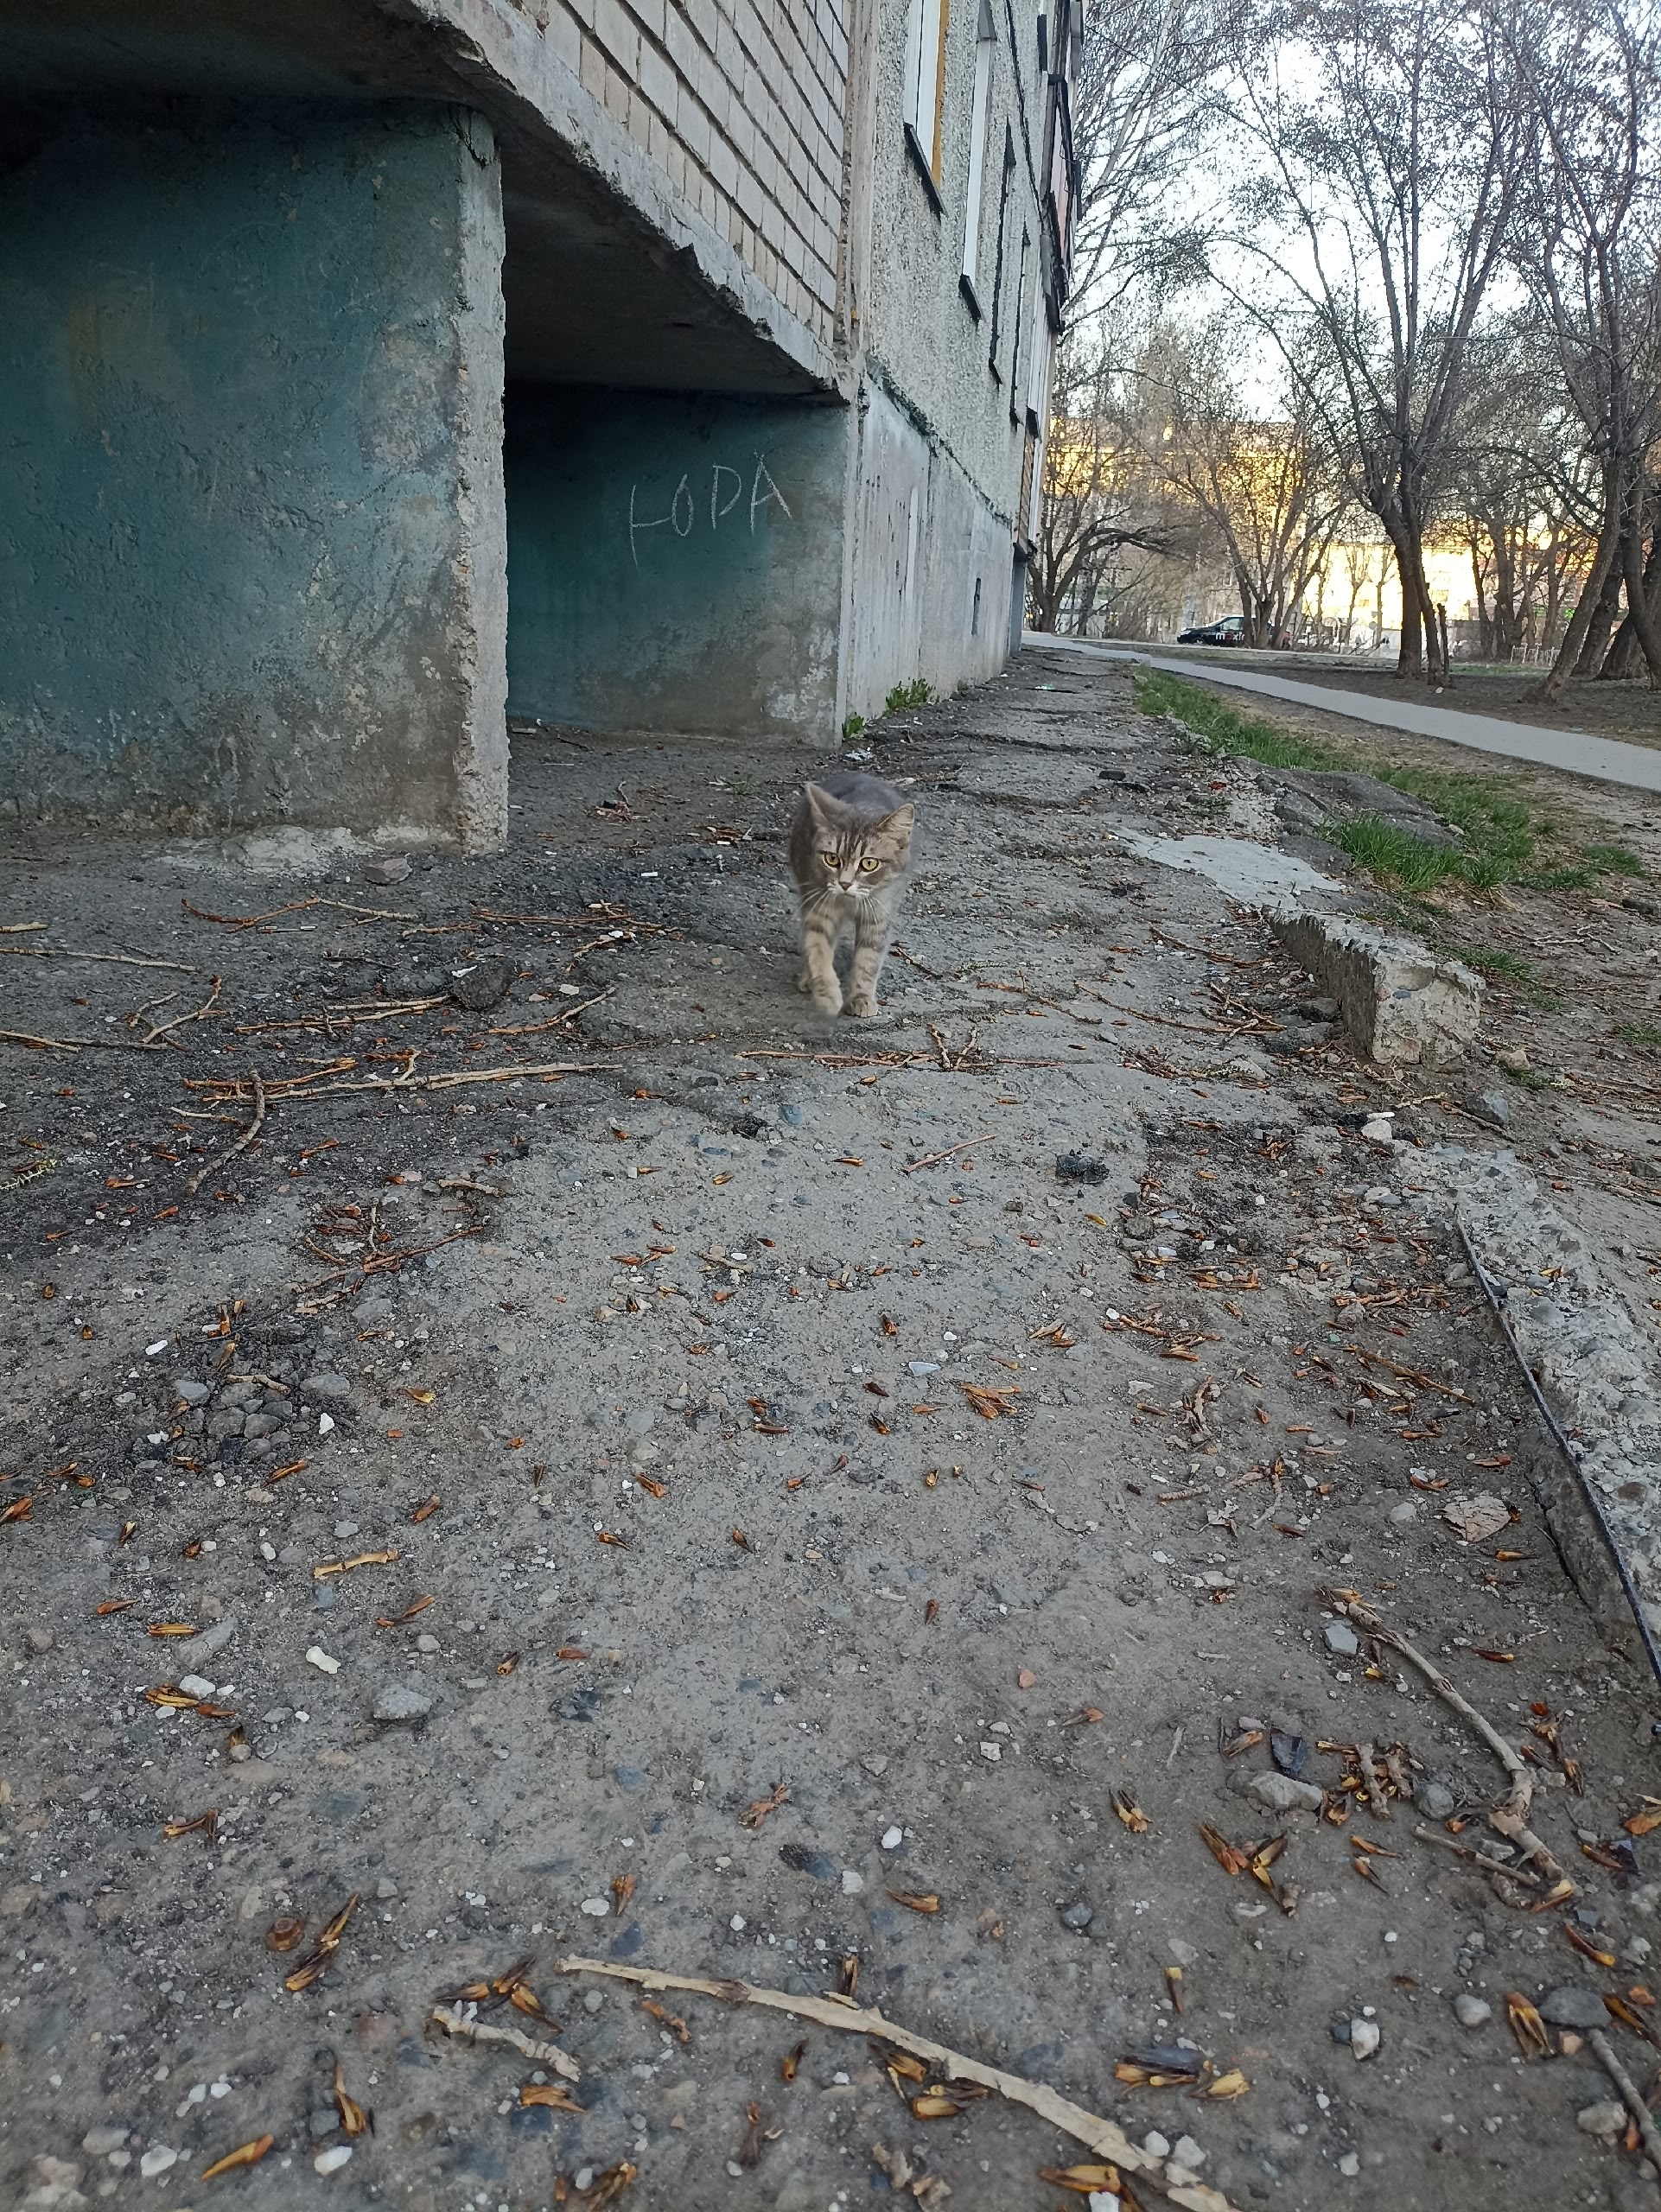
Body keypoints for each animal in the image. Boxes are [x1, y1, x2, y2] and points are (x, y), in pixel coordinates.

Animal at [788, 772, 916, 1018]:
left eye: (869, 863)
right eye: (832, 859)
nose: (845, 883)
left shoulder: (879, 913)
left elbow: (868, 959)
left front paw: (862, 996)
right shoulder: (819, 905)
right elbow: (819, 948)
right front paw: (827, 993)